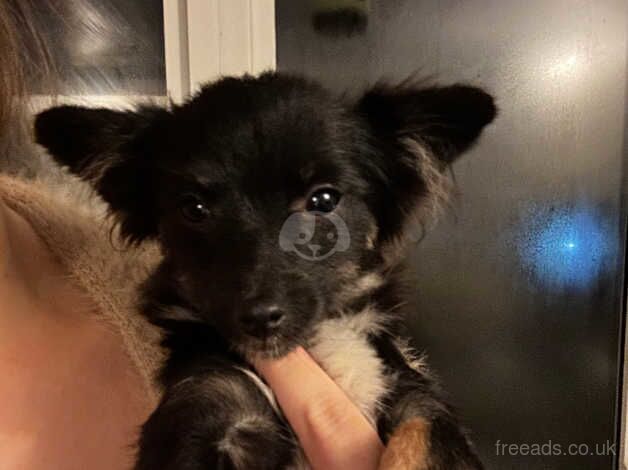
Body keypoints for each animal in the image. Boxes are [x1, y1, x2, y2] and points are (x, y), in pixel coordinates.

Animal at [34, 71, 496, 468]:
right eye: (193, 209)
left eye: (324, 200)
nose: (258, 318)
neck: (315, 348)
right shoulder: (207, 401)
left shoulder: (413, 394)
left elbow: (424, 437)